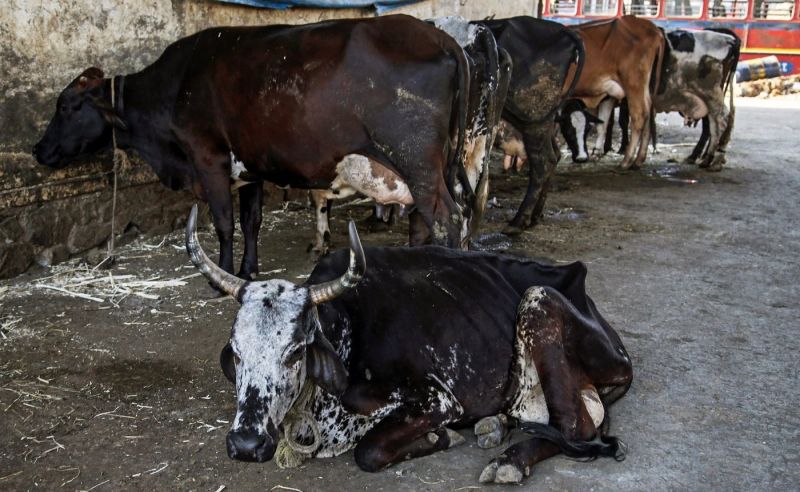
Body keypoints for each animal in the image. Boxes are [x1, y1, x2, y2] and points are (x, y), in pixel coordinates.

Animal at [32, 15, 471, 281]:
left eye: (66, 106)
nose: (38, 150)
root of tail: (438, 35)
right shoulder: (251, 167)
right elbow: (251, 221)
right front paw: (247, 270)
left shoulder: (207, 157)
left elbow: (224, 222)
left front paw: (221, 274)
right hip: (434, 166)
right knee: (426, 220)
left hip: (417, 163)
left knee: (448, 218)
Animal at [184, 203, 633, 484]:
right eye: (236, 352)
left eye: (295, 352)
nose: (246, 444)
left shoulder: (438, 399)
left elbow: (368, 451)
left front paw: (442, 438)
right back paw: (493, 426)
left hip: (538, 301)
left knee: (574, 428)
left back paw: (508, 461)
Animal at [476, 17, 585, 233]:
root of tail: (562, 30)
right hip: (540, 119)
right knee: (554, 155)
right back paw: (534, 216)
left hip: (533, 115)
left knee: (543, 162)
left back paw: (519, 221)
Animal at [566, 16, 665, 170]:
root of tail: (654, 29)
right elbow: (602, 123)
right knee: (649, 113)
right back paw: (639, 159)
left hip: (633, 83)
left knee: (639, 115)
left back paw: (627, 159)